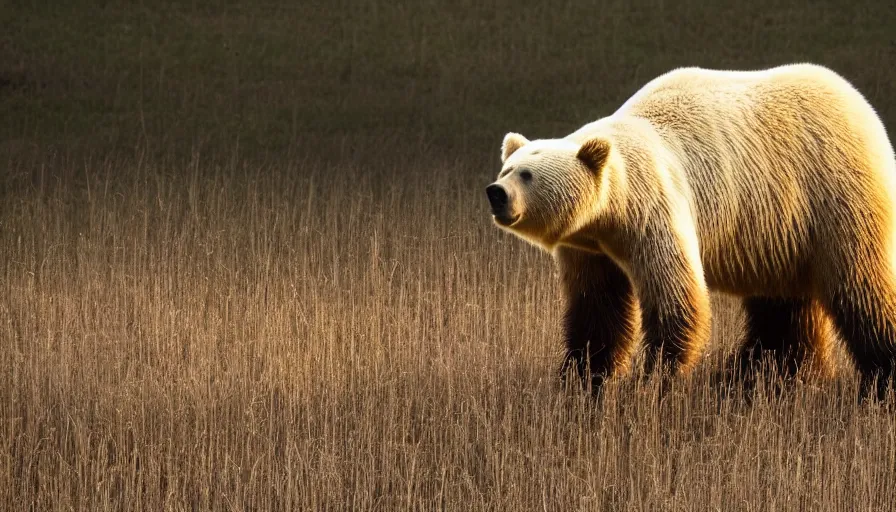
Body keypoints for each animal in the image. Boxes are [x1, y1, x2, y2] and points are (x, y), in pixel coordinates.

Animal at [486, 63, 896, 400]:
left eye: (527, 174)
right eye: (506, 168)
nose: (496, 194)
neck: (611, 213)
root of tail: (865, 109)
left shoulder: (654, 209)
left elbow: (676, 300)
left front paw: (651, 380)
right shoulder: (590, 247)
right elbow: (598, 309)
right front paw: (581, 376)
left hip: (836, 196)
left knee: (861, 288)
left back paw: (877, 378)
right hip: (782, 234)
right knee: (783, 307)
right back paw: (759, 374)